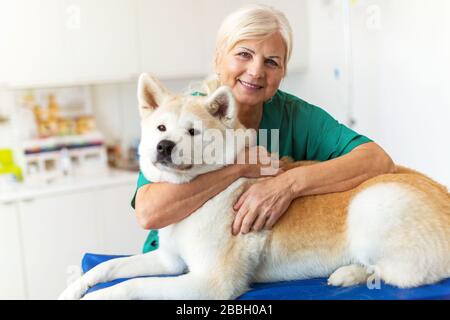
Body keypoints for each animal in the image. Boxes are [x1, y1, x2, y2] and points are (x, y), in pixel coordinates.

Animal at [59, 74, 450, 300]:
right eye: (160, 128)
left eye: (192, 132)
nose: (164, 147)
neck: (199, 195)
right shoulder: (169, 262)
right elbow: (106, 269)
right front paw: (73, 289)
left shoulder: (209, 282)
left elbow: (131, 286)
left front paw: (98, 297)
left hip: (373, 203)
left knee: (404, 274)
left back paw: (349, 273)